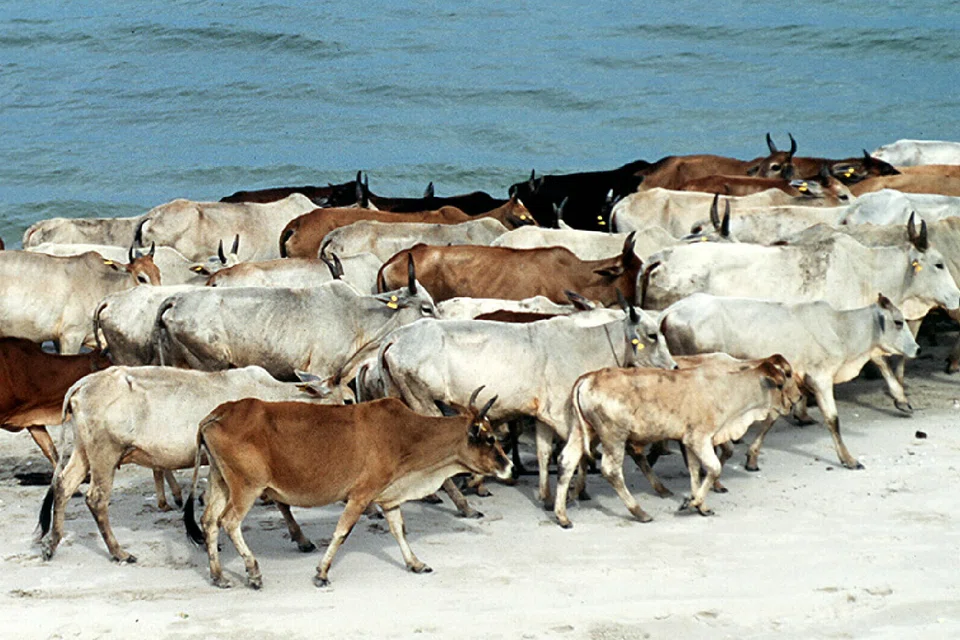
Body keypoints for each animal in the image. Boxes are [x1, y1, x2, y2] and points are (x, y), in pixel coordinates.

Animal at [38, 366, 344, 564]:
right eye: (346, 399)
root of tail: (82, 384)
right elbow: (280, 502)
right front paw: (302, 539)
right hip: (105, 454)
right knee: (97, 499)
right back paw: (118, 552)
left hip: (83, 451)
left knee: (63, 486)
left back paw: (52, 543)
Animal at [182, 391, 511, 589]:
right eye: (489, 438)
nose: (508, 465)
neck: (405, 434)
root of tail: (221, 412)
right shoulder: (361, 494)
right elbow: (342, 532)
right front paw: (321, 573)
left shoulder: (389, 497)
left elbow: (399, 530)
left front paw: (415, 563)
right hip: (246, 487)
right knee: (229, 522)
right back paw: (252, 572)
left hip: (220, 481)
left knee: (209, 522)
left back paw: (218, 576)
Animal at [376, 298, 676, 512]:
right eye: (652, 335)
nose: (673, 366)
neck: (587, 344)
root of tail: (396, 338)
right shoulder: (566, 415)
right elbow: (580, 454)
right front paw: (576, 492)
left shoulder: (543, 414)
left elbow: (545, 452)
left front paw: (547, 496)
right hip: (423, 400)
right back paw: (464, 505)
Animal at [552, 354, 800, 527]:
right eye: (783, 380)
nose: (796, 399)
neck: (727, 389)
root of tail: (589, 377)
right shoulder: (699, 438)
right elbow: (713, 468)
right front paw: (692, 502)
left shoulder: (688, 441)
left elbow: (694, 471)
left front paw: (701, 505)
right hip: (613, 435)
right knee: (611, 470)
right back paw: (640, 512)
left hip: (582, 430)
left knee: (566, 462)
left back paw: (562, 516)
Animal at [660, 293, 920, 471]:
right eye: (898, 321)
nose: (917, 348)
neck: (840, 329)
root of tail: (671, 310)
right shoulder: (821, 378)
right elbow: (833, 420)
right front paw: (848, 459)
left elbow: (772, 418)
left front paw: (752, 457)